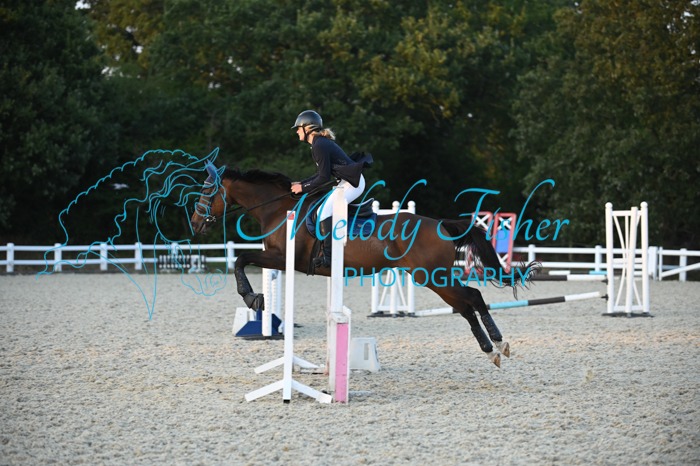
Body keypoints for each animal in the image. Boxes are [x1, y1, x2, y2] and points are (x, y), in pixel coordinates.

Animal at [189, 164, 539, 367]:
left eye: (207, 190)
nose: (194, 223)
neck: (275, 208)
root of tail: (439, 224)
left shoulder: (284, 259)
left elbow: (241, 259)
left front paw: (252, 298)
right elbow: (242, 258)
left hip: (431, 276)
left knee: (472, 297)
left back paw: (498, 343)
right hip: (431, 277)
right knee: (465, 305)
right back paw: (490, 348)